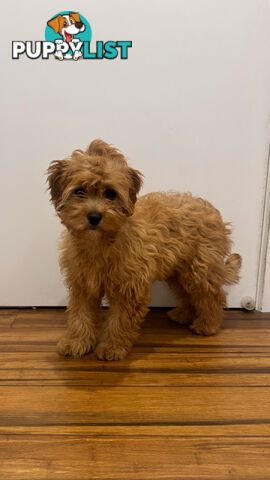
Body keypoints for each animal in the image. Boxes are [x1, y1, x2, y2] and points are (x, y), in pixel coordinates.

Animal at [47, 141, 242, 362]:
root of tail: (214, 213)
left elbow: (120, 320)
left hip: (199, 270)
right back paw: (183, 314)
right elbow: (80, 315)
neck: (101, 243)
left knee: (213, 296)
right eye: (80, 191)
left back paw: (208, 324)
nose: (94, 217)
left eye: (110, 194)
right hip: (179, 272)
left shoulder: (129, 288)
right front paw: (76, 342)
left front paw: (112, 347)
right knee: (188, 294)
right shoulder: (83, 285)